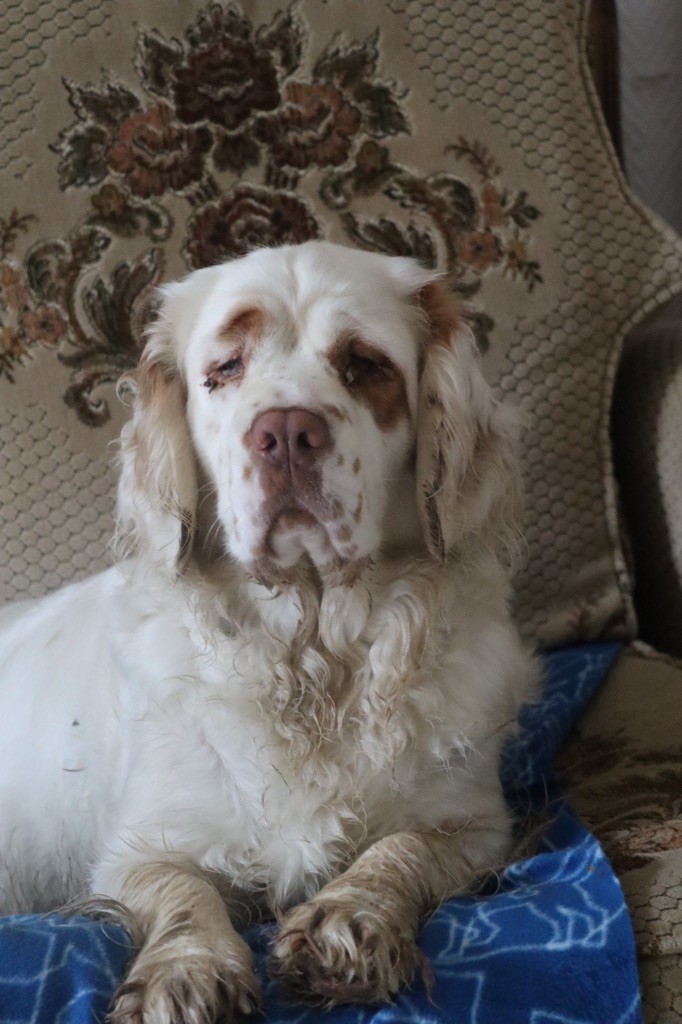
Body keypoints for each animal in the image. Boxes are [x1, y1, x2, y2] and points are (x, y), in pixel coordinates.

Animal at [0, 243, 532, 1019]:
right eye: (225, 368)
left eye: (364, 364)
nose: (284, 433)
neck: (313, 659)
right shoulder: (137, 850)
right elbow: (181, 891)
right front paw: (186, 973)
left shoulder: (476, 826)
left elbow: (401, 851)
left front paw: (349, 922)